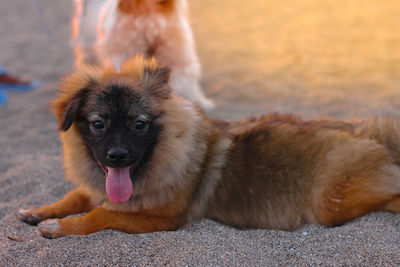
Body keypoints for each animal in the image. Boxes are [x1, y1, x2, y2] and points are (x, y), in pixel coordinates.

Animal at [17, 57, 400, 239]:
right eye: (99, 124)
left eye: (139, 124)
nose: (118, 156)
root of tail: (367, 131)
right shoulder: (101, 188)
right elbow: (75, 197)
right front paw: (40, 211)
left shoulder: (162, 218)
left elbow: (99, 215)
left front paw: (59, 228)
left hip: (332, 201)